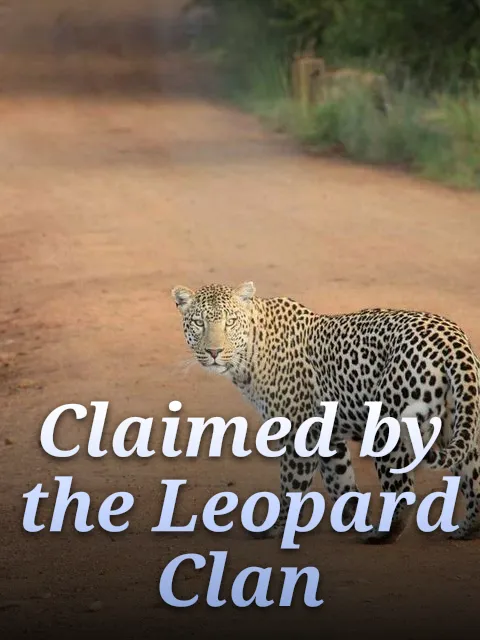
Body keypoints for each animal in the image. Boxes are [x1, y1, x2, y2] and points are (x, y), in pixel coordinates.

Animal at [172, 281, 480, 543]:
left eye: (230, 322)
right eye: (199, 322)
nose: (214, 351)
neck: (249, 354)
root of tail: (452, 339)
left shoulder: (299, 434)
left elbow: (291, 487)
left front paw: (276, 528)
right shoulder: (327, 437)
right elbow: (340, 483)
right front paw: (356, 521)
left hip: (388, 427)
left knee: (402, 488)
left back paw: (383, 534)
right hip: (461, 422)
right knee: (473, 480)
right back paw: (466, 530)